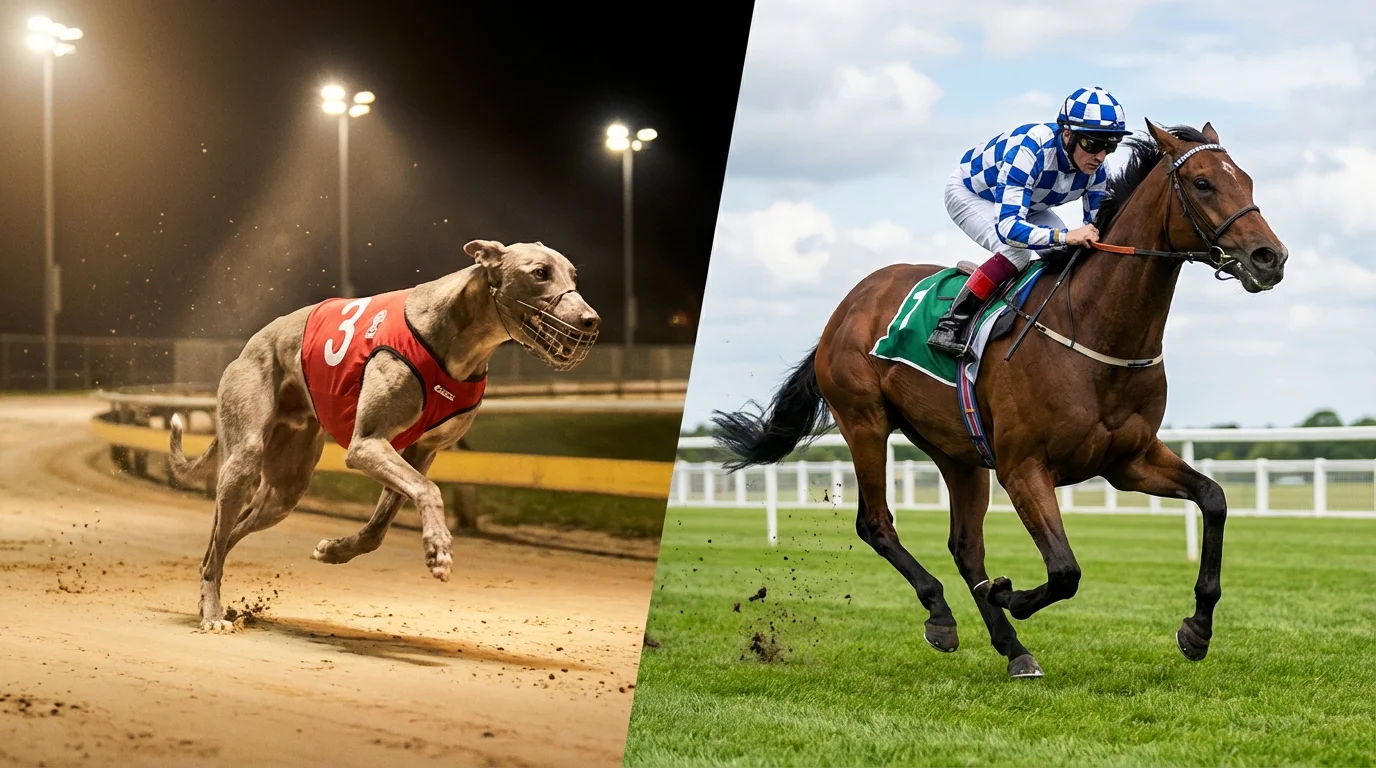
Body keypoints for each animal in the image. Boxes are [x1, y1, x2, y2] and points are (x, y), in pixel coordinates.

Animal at [710, 120, 1287, 678]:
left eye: (1248, 180)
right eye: (1203, 183)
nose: (1270, 257)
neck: (1094, 333)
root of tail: (848, 305)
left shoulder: (1129, 461)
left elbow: (1214, 498)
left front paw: (1197, 629)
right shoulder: (1023, 468)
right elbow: (1065, 571)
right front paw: (1010, 594)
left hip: (958, 452)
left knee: (966, 548)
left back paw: (1013, 648)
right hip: (864, 421)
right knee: (876, 523)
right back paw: (942, 616)